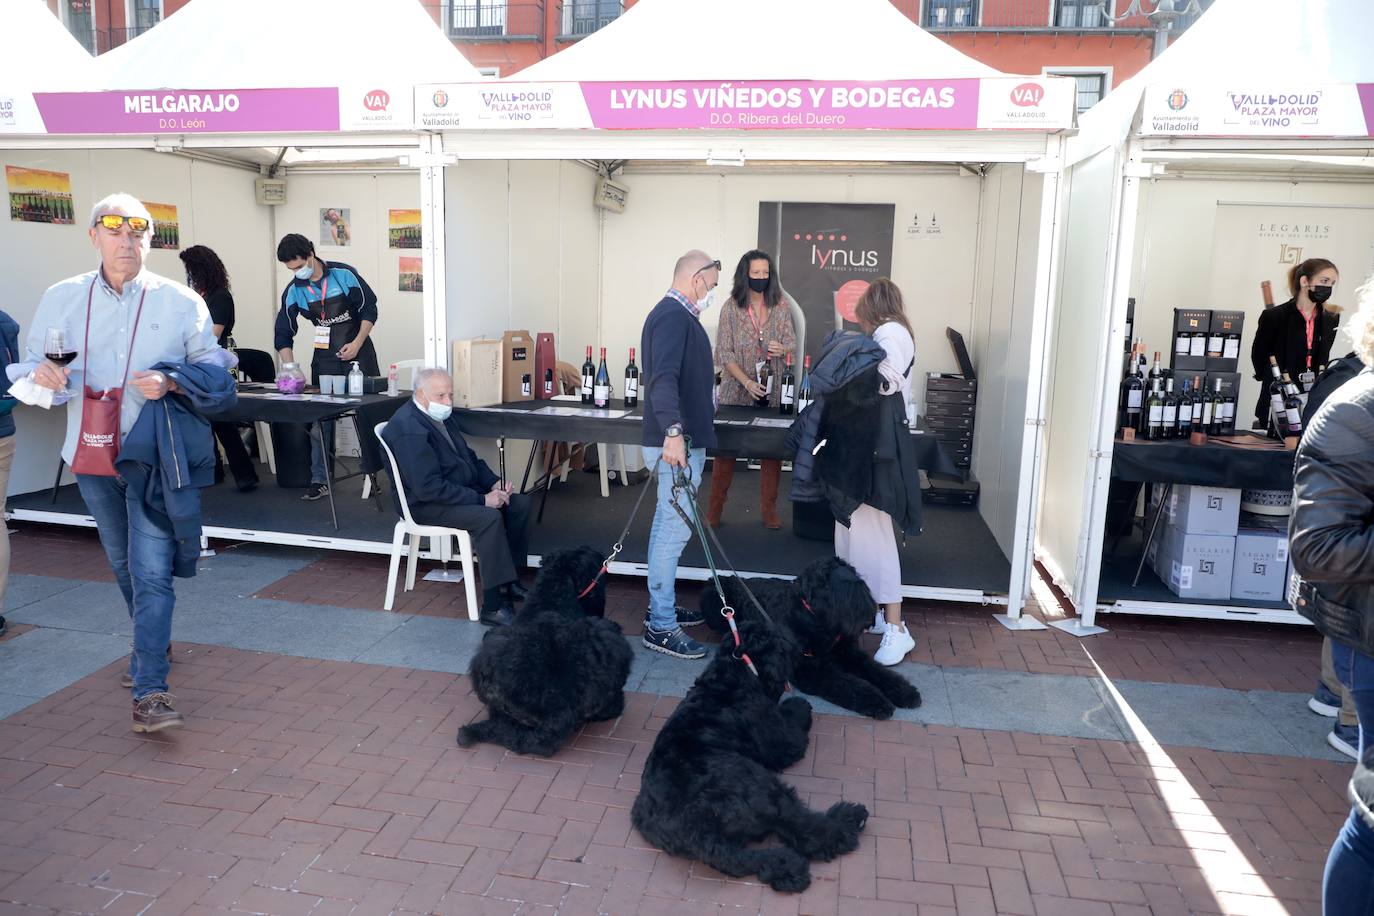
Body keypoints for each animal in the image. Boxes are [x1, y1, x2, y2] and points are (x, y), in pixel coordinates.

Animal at [629, 620, 862, 889]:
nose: (798, 646)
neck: (733, 674)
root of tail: (700, 832)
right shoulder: (784, 741)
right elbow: (794, 726)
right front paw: (799, 705)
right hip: (768, 789)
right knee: (807, 831)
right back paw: (848, 820)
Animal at [697, 560, 923, 725]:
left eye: (861, 583)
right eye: (844, 591)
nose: (869, 616)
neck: (815, 618)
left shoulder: (850, 654)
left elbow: (877, 671)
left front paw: (904, 691)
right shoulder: (810, 669)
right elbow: (848, 683)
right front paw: (877, 701)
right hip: (711, 602)